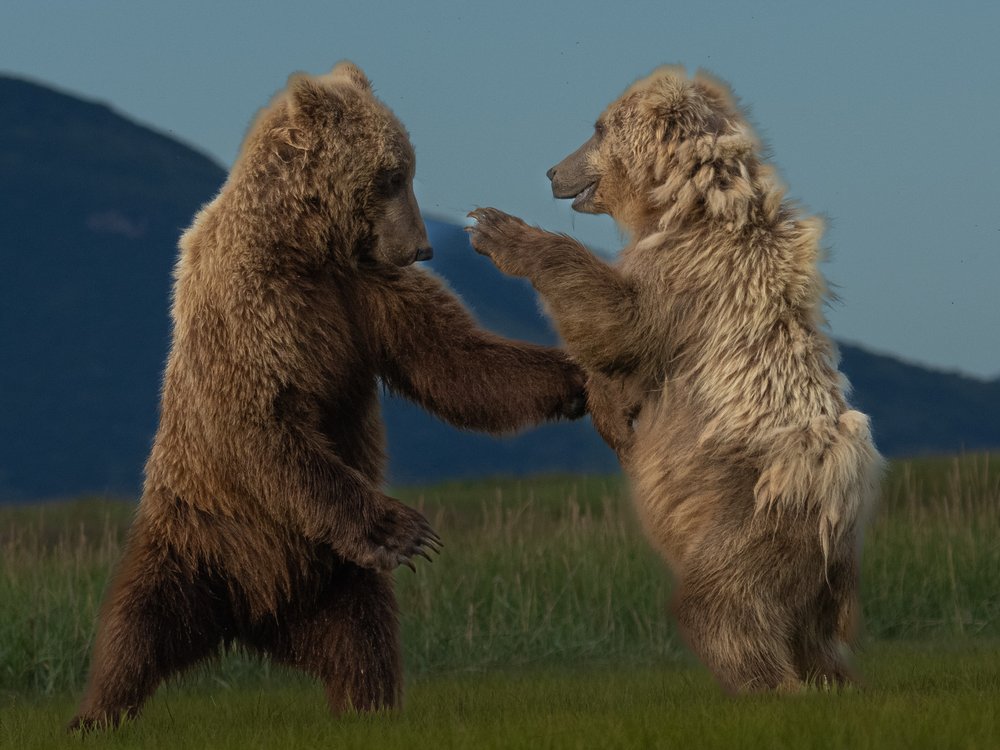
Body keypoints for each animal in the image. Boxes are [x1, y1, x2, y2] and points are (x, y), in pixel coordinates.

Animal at [69, 61, 586, 731]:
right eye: (392, 175)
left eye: (408, 169)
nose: (421, 247)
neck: (302, 246)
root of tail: (256, 613)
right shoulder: (253, 305)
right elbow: (263, 423)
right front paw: (407, 529)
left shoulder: (362, 289)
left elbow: (450, 358)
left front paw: (572, 375)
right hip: (197, 534)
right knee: (134, 628)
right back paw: (95, 714)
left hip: (339, 577)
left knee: (363, 640)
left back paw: (369, 708)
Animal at [469, 66, 884, 692]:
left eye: (597, 126)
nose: (553, 171)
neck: (685, 203)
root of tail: (841, 502)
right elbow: (618, 360)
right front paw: (611, 418)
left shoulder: (690, 276)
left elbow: (620, 325)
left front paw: (499, 231)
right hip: (819, 576)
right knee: (815, 638)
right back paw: (830, 681)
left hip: (748, 514)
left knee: (723, 606)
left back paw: (767, 685)